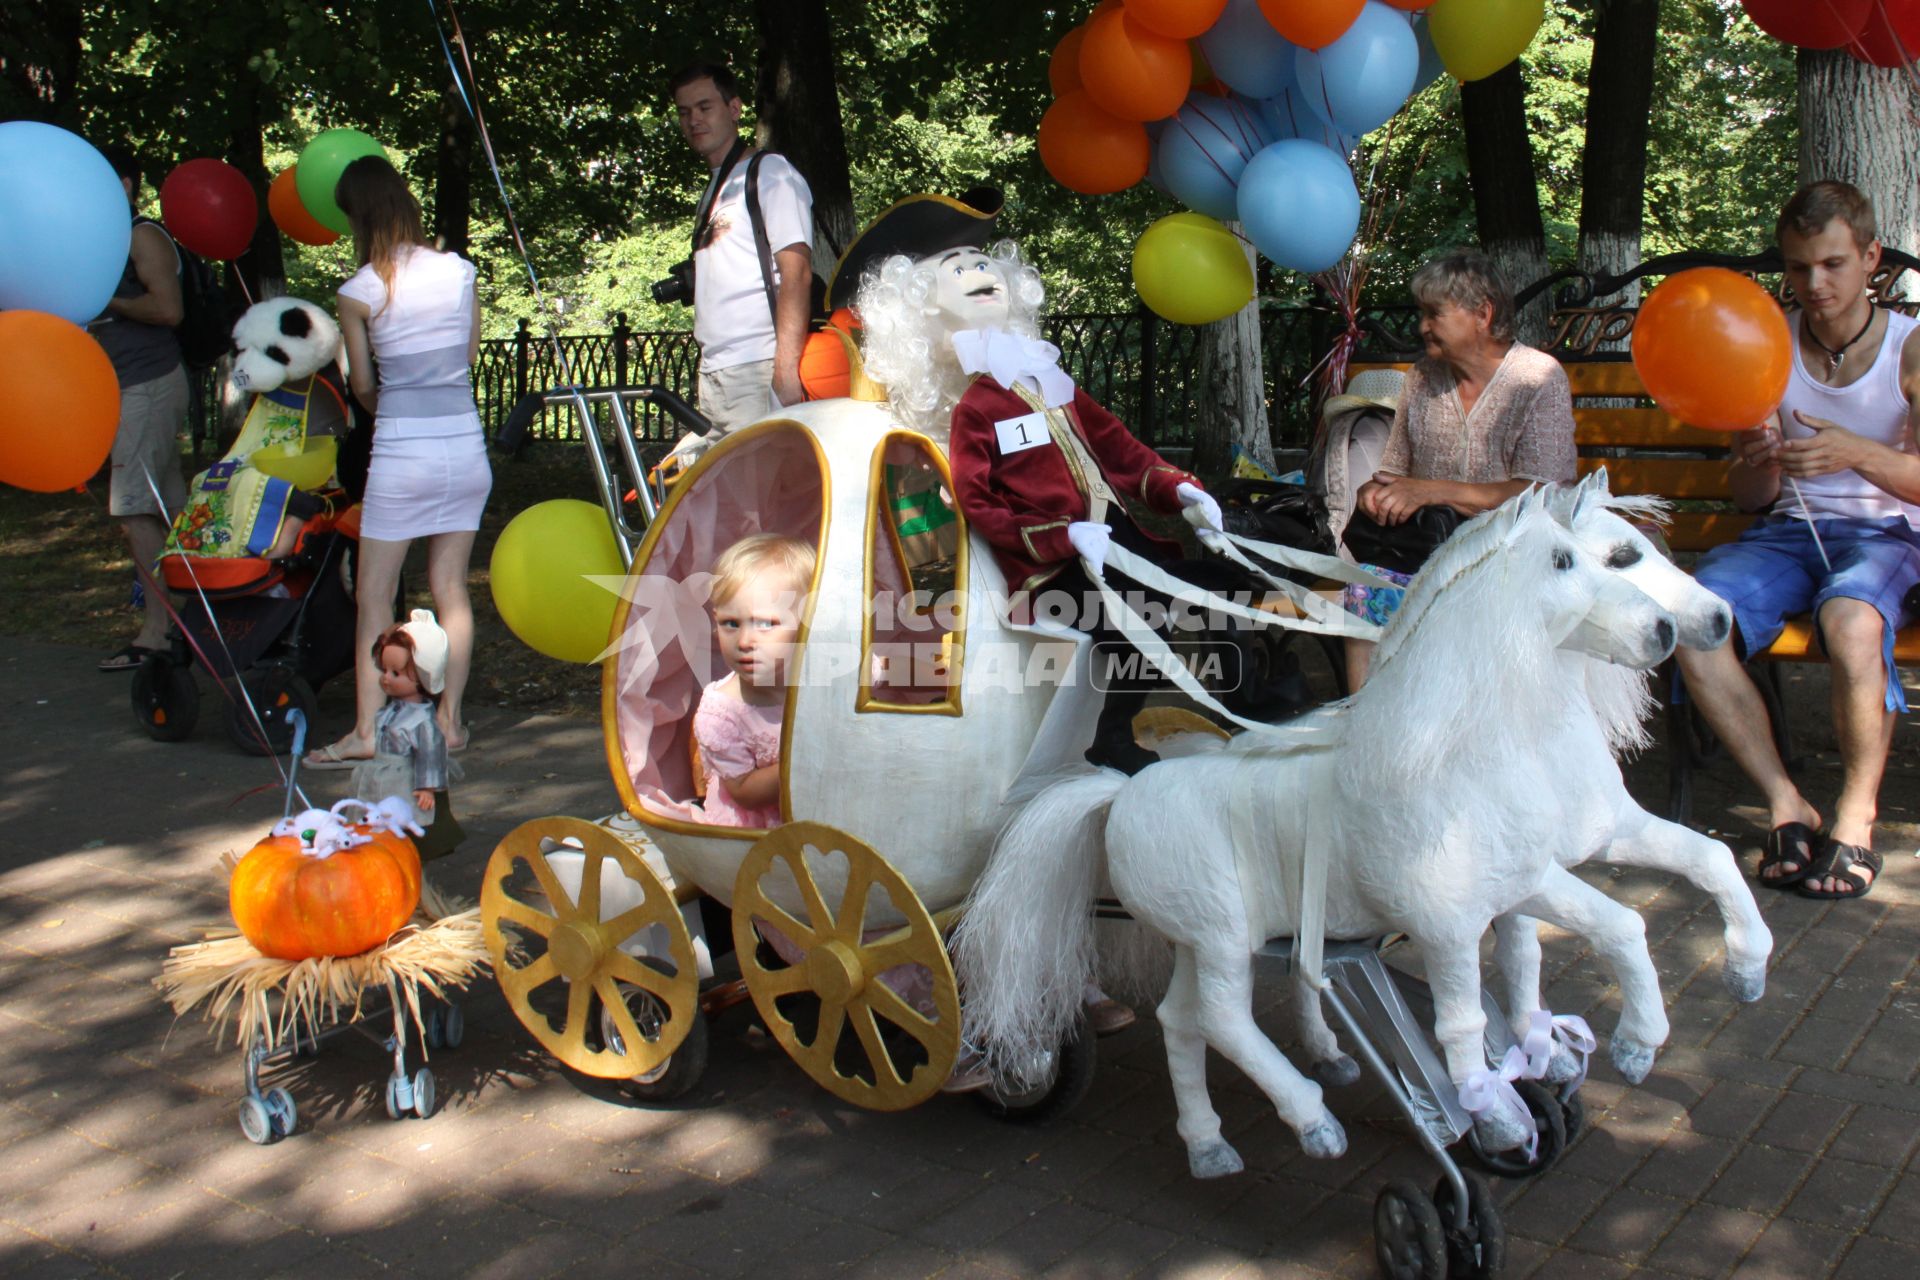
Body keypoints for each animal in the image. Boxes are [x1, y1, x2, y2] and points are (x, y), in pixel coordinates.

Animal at [960, 491, 1681, 1182]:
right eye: (1567, 560)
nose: (1666, 628)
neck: (1442, 757)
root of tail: (1118, 794)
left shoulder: (1515, 885)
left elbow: (1596, 933)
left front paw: (1603, 1056)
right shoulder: (1446, 920)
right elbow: (1464, 1020)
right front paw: (1502, 1121)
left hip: (1203, 937)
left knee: (1182, 1020)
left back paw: (1210, 1145)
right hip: (1222, 937)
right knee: (1224, 1019)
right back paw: (1312, 1121)